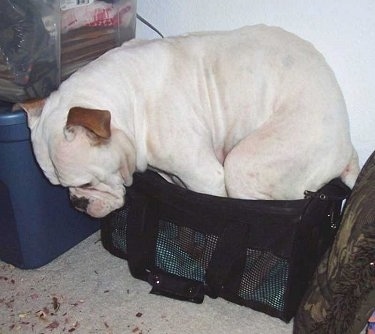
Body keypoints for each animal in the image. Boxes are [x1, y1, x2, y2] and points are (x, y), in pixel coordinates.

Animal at [19, 26, 360, 219]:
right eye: (60, 186)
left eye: (87, 184)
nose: (77, 202)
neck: (129, 102)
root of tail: (346, 146)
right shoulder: (172, 174)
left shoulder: (206, 177)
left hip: (247, 164)